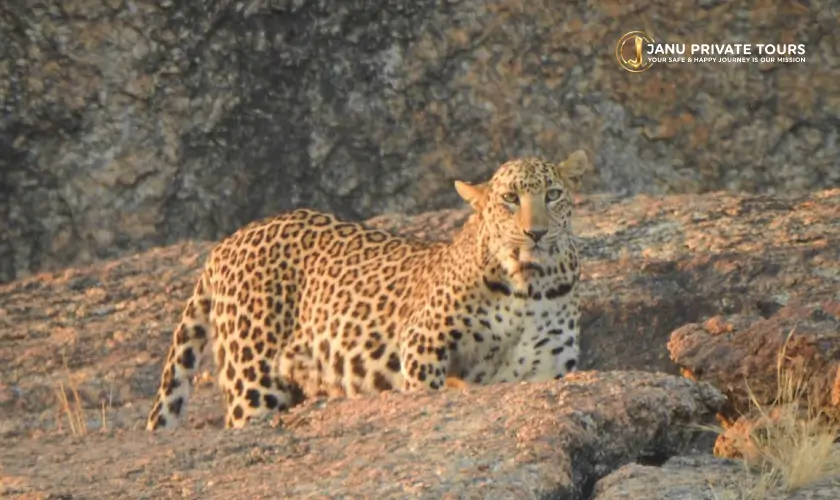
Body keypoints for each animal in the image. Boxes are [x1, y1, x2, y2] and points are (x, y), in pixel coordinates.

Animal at [146, 150, 589, 430]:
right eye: (510, 199)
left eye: (553, 195)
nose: (536, 233)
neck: (529, 285)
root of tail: (228, 240)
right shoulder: (423, 341)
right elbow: (424, 386)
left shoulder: (547, 364)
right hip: (252, 378)